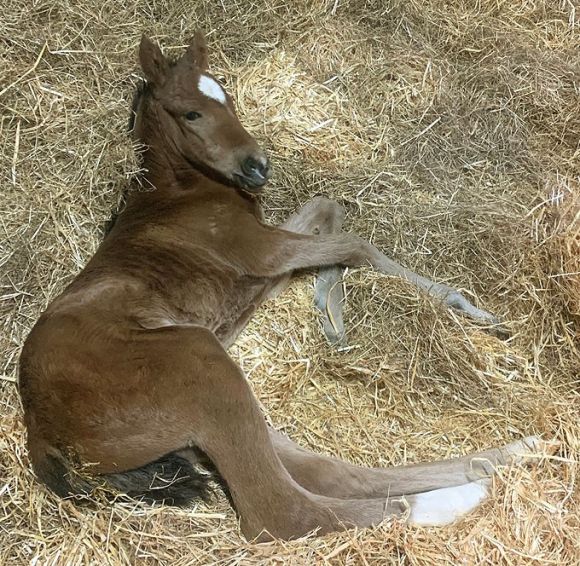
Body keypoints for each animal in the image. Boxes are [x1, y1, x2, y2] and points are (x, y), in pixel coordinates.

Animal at [18, 33, 552, 544]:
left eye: (228, 98)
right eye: (191, 112)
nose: (258, 166)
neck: (178, 194)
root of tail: (41, 435)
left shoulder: (262, 272)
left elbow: (328, 210)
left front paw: (330, 316)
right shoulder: (261, 252)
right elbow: (355, 244)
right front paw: (461, 309)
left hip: (205, 406)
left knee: (326, 472)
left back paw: (517, 451)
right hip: (197, 360)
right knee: (279, 512)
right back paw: (460, 496)